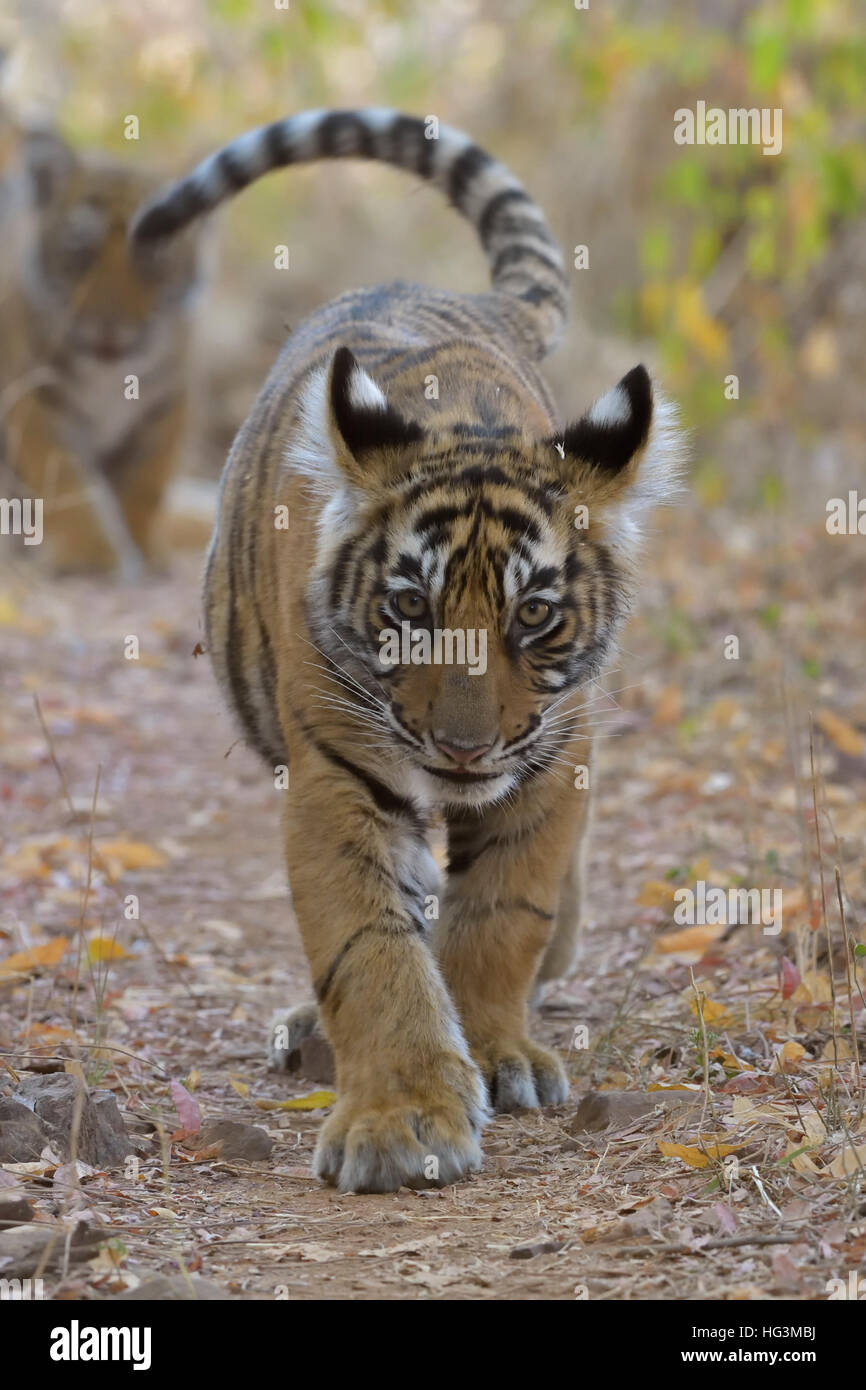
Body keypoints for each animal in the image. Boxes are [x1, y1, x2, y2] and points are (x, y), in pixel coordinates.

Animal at [0, 118, 204, 575]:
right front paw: (91, 556)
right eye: (81, 252)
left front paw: (147, 550)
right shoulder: (34, 397)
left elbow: (145, 483)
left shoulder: (168, 402)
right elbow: (66, 479)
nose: (111, 326)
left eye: (152, 256)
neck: (110, 376)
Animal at [130, 108, 683, 1193]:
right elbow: (369, 944)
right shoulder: (333, 774)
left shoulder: (551, 754)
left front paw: (495, 1049)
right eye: (408, 607)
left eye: (533, 616)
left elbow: (503, 912)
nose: (465, 751)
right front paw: (401, 1120)